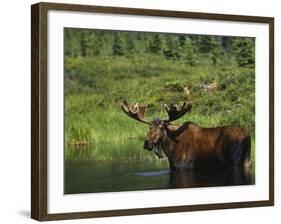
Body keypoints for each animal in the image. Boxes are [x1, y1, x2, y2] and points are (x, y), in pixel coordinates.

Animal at [120, 101, 249, 172]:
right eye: (149, 127)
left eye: (161, 127)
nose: (147, 143)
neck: (171, 151)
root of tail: (247, 136)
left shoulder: (184, 167)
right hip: (246, 160)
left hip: (235, 161)